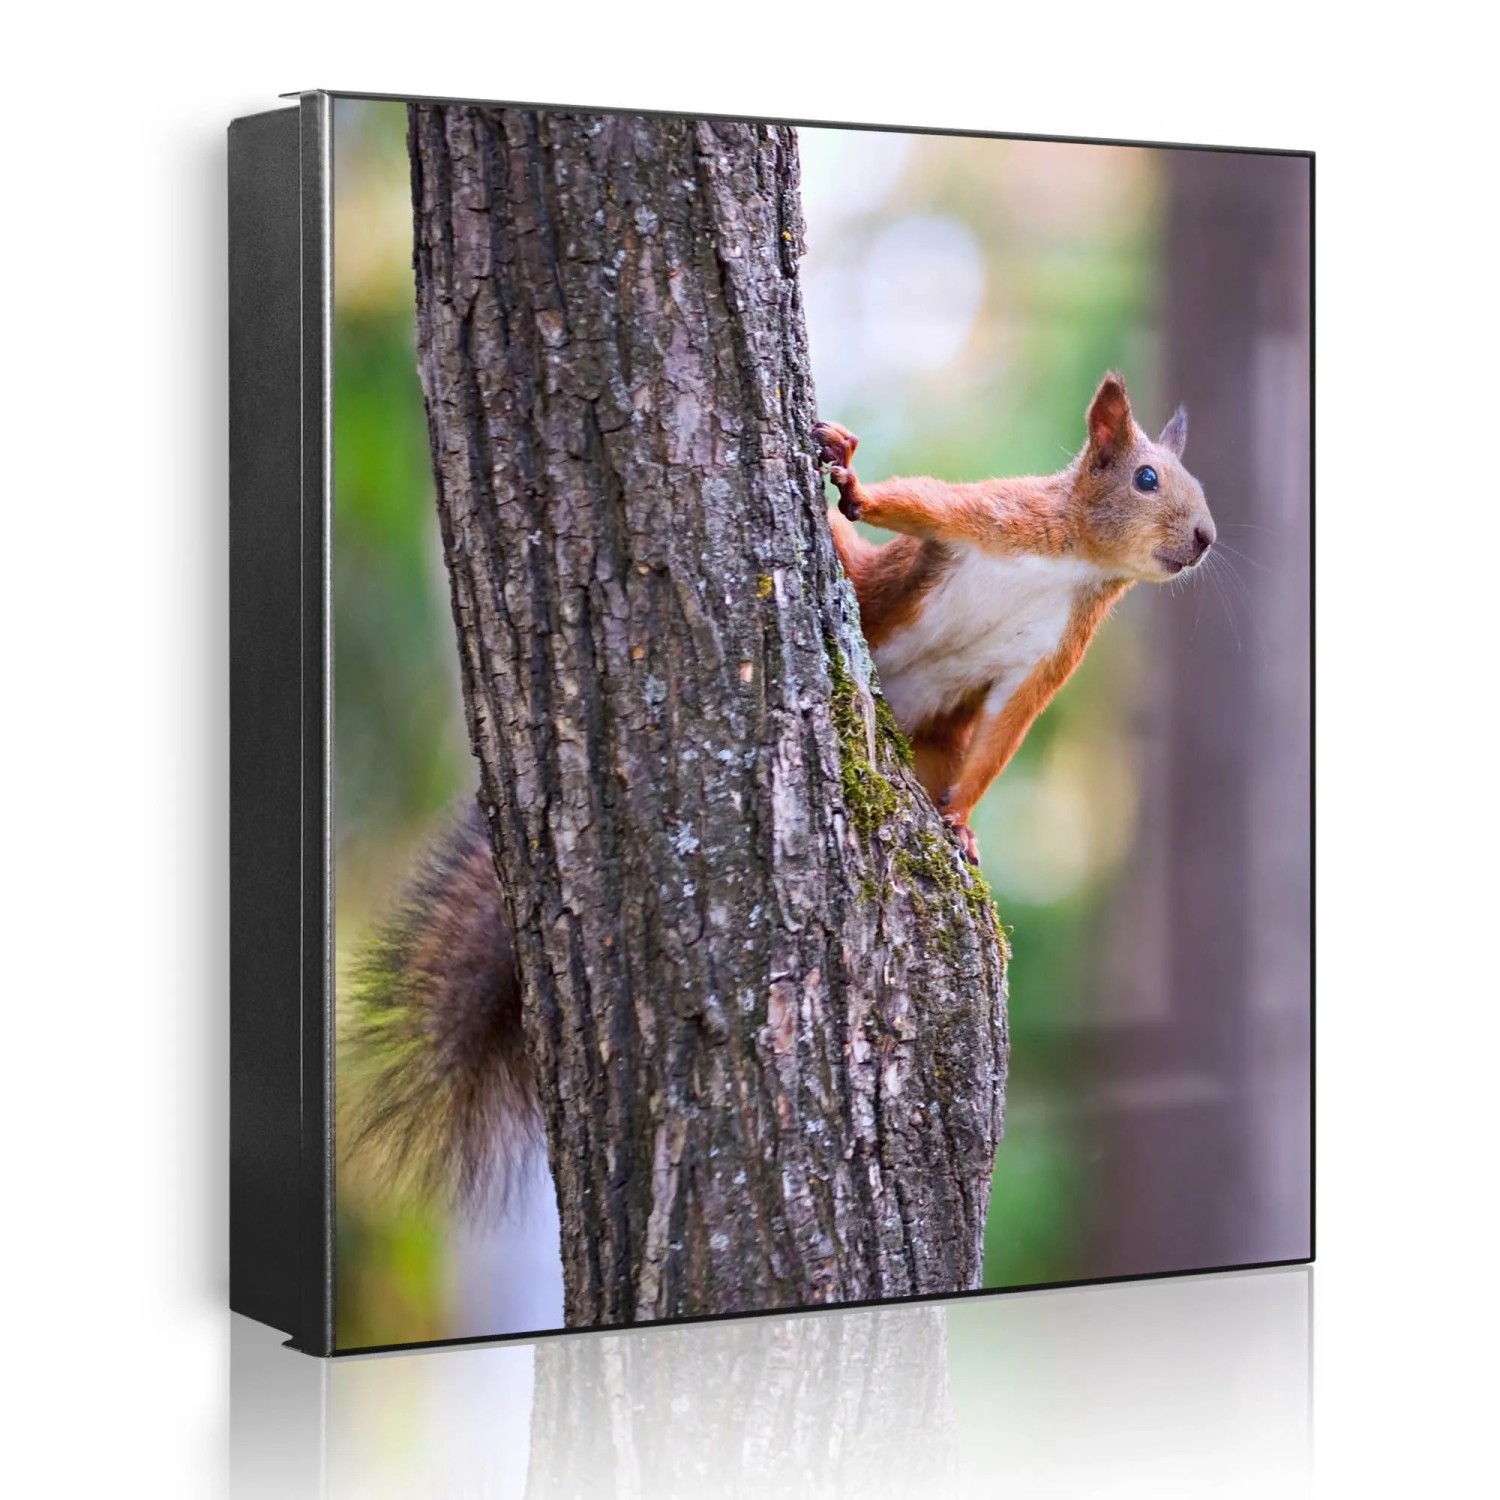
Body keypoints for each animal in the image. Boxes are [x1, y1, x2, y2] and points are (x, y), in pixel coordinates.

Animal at [344, 371, 1213, 1204]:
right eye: (1146, 477)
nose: (1206, 538)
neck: (1075, 563)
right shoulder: (1001, 517)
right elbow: (922, 503)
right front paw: (855, 482)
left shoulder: (1049, 658)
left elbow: (1004, 736)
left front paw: (961, 822)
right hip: (866, 584)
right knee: (850, 553)